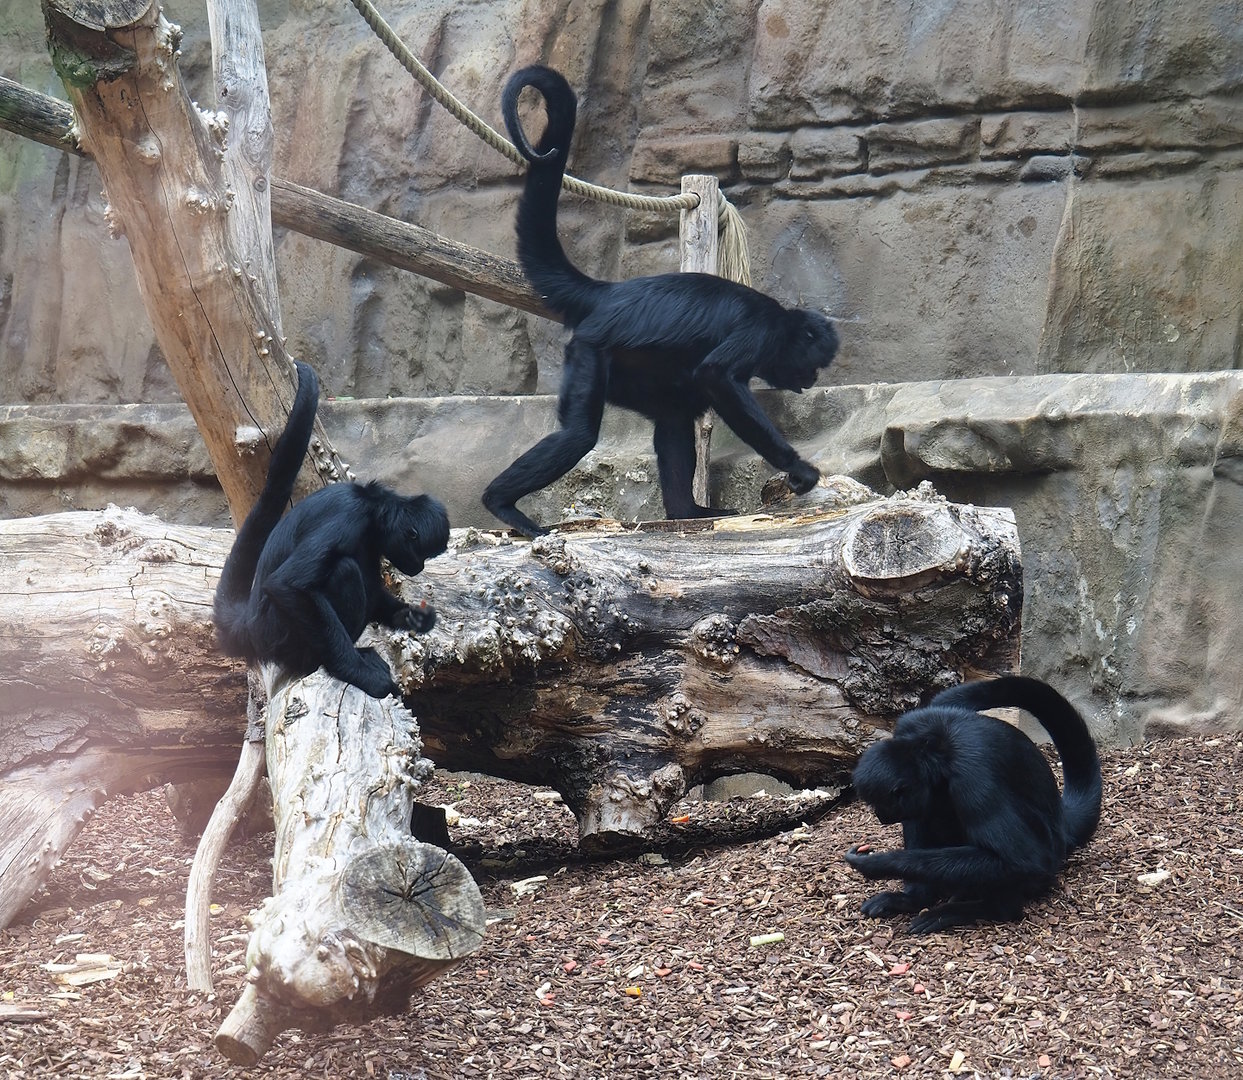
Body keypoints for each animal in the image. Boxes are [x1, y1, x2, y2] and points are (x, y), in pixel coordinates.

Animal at [213, 360, 450, 699]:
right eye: (423, 555)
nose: (418, 568)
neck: (371, 504)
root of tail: (252, 625)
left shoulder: (370, 539)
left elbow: (374, 590)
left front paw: (412, 617)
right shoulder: (348, 517)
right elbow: (287, 585)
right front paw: (360, 674)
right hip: (281, 634)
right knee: (344, 571)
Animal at [482, 64, 840, 537]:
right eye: (814, 363)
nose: (813, 379)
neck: (780, 322)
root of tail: (610, 292)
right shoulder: (759, 330)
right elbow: (717, 376)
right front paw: (799, 470)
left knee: (673, 414)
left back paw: (686, 512)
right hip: (590, 350)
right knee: (580, 435)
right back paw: (500, 503)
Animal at [844, 675, 1102, 933]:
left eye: (879, 804)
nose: (879, 815)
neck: (936, 750)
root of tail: (1063, 826)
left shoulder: (973, 778)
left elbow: (1024, 861)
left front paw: (879, 864)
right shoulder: (911, 723)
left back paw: (974, 909)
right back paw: (916, 899)